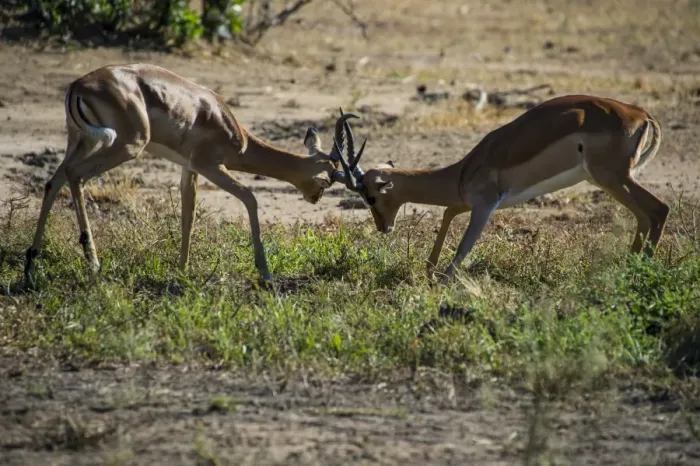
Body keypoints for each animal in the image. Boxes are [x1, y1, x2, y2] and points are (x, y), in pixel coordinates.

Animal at [24, 63, 356, 286]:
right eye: (328, 179)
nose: (315, 198)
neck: (233, 131)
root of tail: (78, 85)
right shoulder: (211, 166)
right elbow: (250, 198)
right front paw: (265, 272)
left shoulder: (190, 168)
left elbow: (188, 215)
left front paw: (182, 270)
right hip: (126, 145)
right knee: (75, 175)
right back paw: (92, 262)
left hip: (80, 141)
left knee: (55, 179)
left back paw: (31, 262)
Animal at [333, 95, 669, 283]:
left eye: (370, 197)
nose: (383, 228)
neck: (462, 171)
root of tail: (640, 114)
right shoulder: (463, 202)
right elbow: (445, 219)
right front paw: (428, 271)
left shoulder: (484, 206)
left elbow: (462, 247)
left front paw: (439, 284)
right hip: (611, 180)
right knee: (644, 216)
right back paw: (626, 269)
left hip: (613, 178)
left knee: (658, 209)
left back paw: (639, 273)